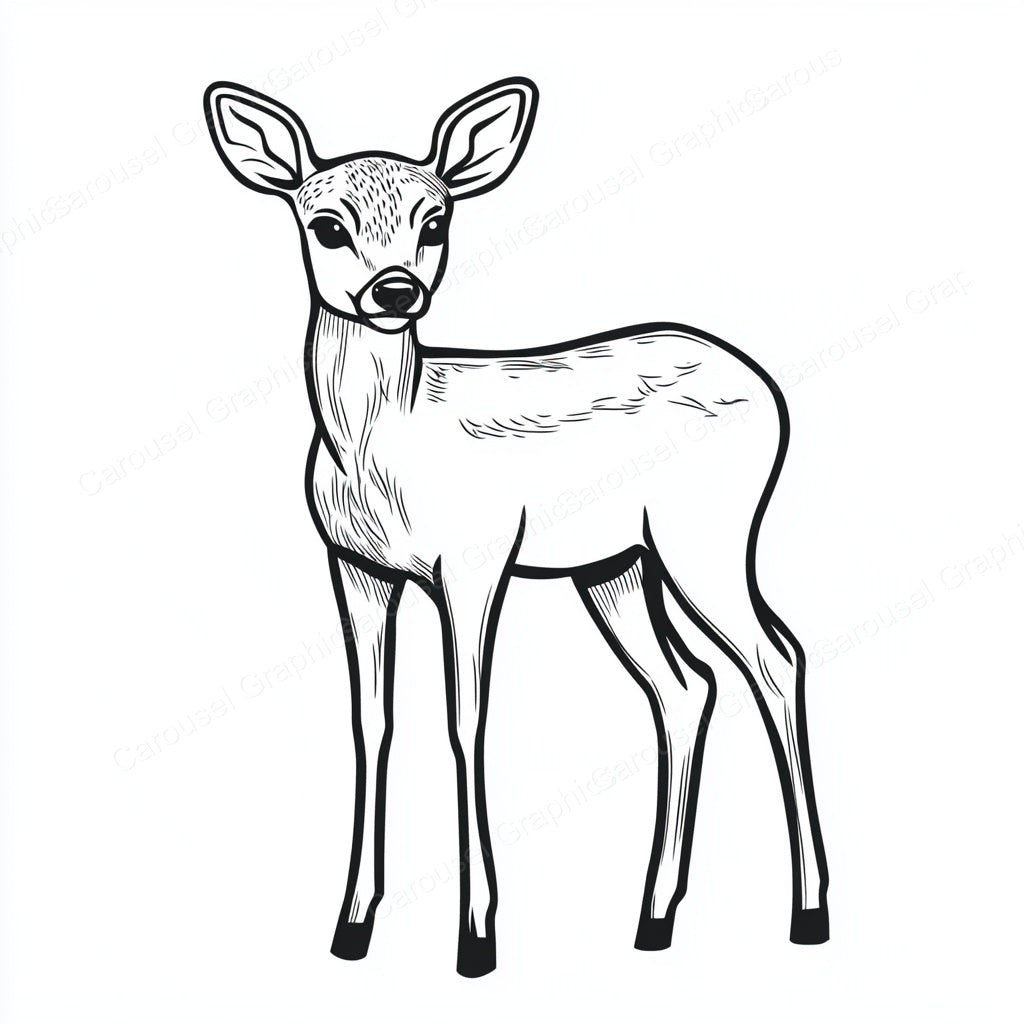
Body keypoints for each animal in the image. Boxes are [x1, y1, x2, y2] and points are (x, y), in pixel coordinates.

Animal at [204, 76, 830, 977]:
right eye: (326, 224)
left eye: (435, 220)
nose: (395, 290)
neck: (384, 442)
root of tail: (768, 388)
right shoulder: (356, 568)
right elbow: (371, 722)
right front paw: (351, 928)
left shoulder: (474, 561)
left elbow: (467, 720)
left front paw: (477, 939)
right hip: (617, 566)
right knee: (685, 688)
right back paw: (653, 919)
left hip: (707, 534)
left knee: (776, 658)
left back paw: (807, 912)